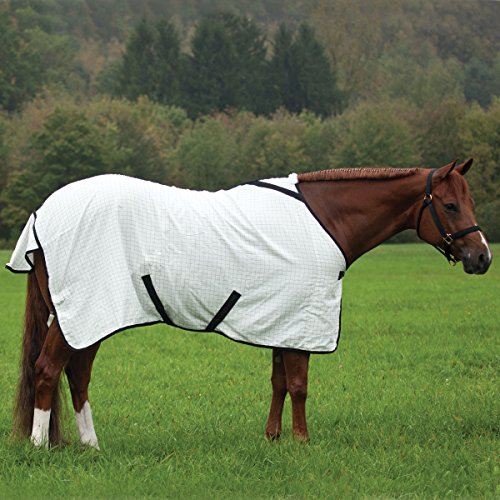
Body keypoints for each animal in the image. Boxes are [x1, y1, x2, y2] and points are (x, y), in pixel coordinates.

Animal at [7, 159, 492, 449]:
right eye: (450, 205)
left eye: (468, 200)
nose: (482, 257)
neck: (325, 220)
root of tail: (42, 215)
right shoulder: (301, 317)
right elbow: (299, 383)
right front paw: (302, 442)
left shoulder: (282, 316)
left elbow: (279, 381)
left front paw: (274, 438)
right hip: (82, 310)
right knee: (48, 369)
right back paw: (39, 448)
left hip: (90, 314)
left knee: (77, 374)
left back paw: (88, 446)